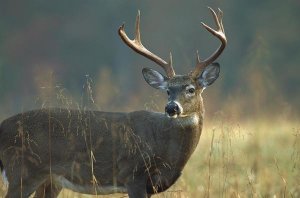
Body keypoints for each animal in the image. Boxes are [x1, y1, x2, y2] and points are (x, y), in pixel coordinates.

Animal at [0, 7, 225, 198]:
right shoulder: (134, 175)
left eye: (191, 89)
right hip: (23, 171)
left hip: (49, 180)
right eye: (168, 91)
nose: (171, 108)